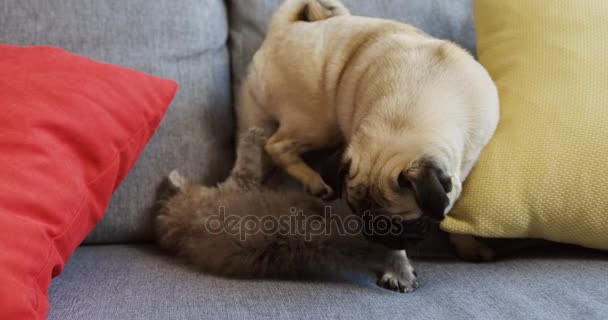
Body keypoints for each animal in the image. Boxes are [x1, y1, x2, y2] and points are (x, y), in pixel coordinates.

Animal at [154, 127, 418, 292]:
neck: (186, 221)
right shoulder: (241, 182)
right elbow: (246, 162)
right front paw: (253, 134)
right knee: (389, 250)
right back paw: (402, 272)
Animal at [236, 0, 498, 258]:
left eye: (405, 223)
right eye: (355, 212)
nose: (373, 235)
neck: (402, 121)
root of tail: (281, 28)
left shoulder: (460, 169)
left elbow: (452, 209)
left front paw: (465, 244)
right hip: (320, 125)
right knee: (276, 146)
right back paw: (314, 181)